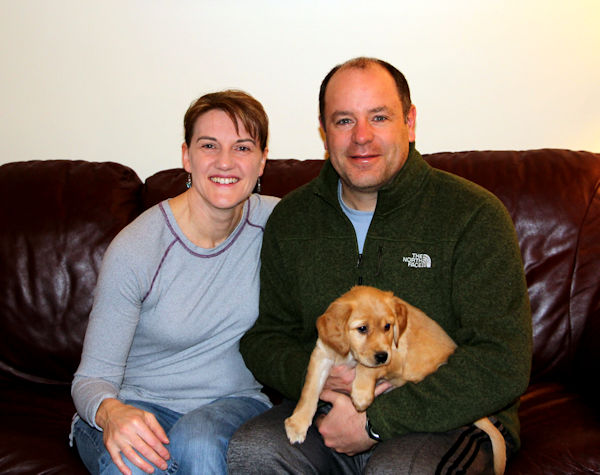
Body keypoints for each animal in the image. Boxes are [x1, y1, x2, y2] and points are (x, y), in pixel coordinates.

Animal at [286, 286, 506, 475]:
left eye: (387, 326)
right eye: (362, 328)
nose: (381, 356)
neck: (349, 353)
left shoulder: (395, 357)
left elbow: (365, 368)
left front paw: (361, 394)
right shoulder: (322, 355)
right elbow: (310, 390)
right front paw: (298, 423)